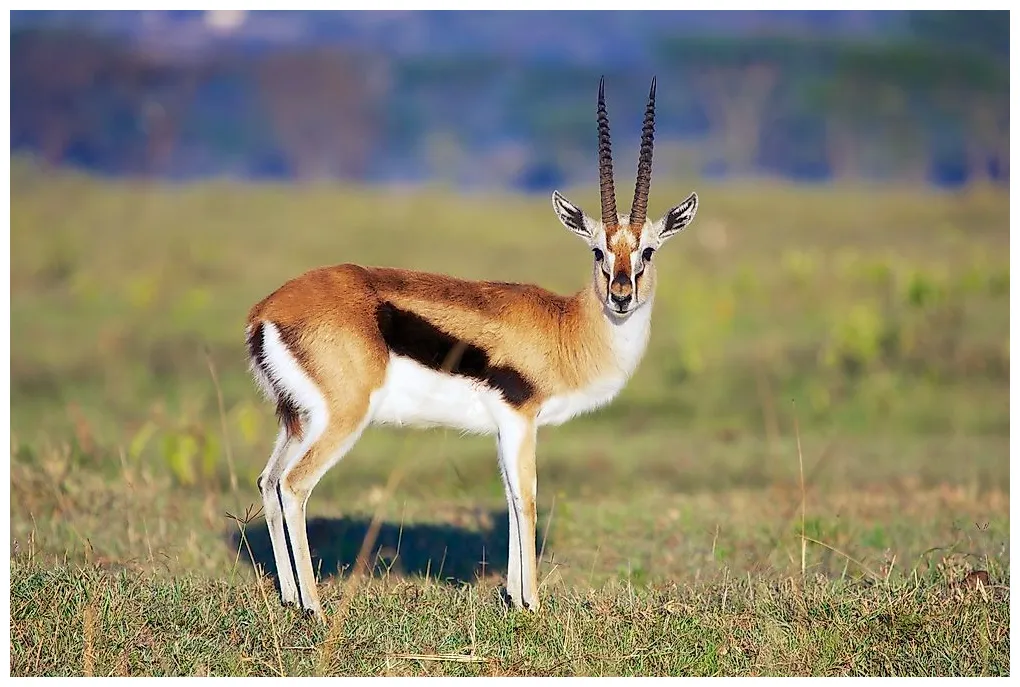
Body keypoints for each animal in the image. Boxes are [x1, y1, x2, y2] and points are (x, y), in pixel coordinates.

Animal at [246, 76, 699, 619]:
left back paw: (290, 597)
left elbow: (509, 499)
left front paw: (514, 597)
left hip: (296, 420)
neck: (565, 327)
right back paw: (314, 607)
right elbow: (527, 499)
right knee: (295, 485)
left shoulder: (506, 426)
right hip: (341, 419)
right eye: (598, 251)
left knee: (269, 481)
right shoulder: (521, 418)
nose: (621, 295)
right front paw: (532, 605)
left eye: (647, 250)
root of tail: (267, 310)